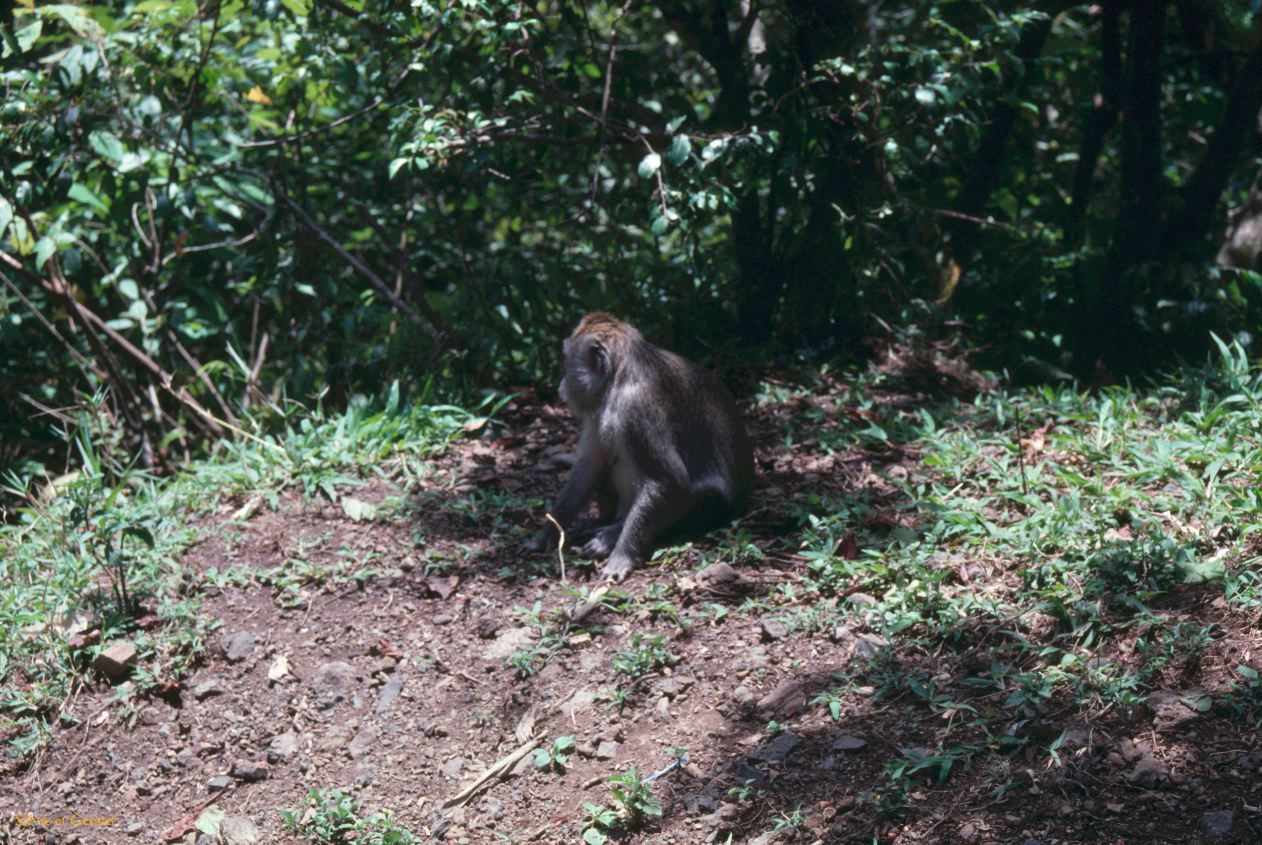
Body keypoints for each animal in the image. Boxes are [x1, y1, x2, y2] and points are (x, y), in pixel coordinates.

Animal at [521, 312, 754, 581]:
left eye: (568, 364)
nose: (562, 384)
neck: (623, 374)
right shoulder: (600, 408)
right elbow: (589, 466)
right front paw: (546, 534)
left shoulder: (636, 409)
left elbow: (669, 481)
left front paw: (620, 557)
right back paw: (599, 522)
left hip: (718, 509)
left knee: (704, 495)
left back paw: (611, 534)